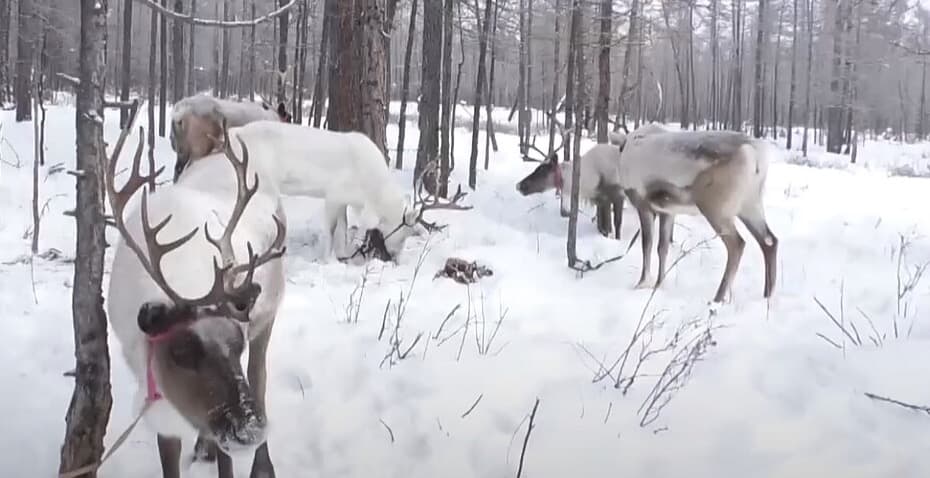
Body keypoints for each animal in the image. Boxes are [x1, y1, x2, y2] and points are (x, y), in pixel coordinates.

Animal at [105, 117, 287, 478]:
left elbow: (226, 466)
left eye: (237, 345)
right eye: (181, 352)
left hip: (269, 315)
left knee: (259, 377)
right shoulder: (162, 405)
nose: (250, 431)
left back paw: (262, 466)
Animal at [175, 119, 471, 262]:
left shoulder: (344, 202)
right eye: (404, 230)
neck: (371, 193)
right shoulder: (333, 195)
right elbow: (332, 229)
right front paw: (328, 257)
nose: (394, 258)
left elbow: (343, 228)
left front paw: (342, 253)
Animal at [616, 123, 778, 303]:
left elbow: (647, 245)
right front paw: (659, 283)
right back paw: (768, 295)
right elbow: (662, 247)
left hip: (715, 208)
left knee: (737, 244)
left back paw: (718, 298)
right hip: (750, 204)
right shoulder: (668, 211)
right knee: (770, 241)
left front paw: (642, 283)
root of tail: (756, 156)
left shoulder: (644, 206)